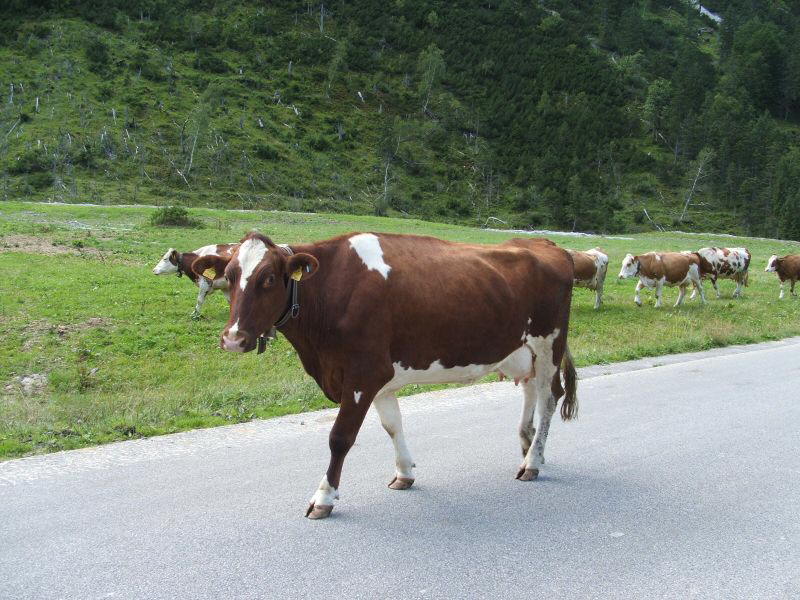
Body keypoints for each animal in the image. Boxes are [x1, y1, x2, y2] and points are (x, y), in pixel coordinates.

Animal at [197, 231, 578, 519]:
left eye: (269, 279)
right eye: (230, 277)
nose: (232, 338)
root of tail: (545, 243)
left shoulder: (363, 375)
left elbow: (340, 438)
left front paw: (324, 497)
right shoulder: (378, 379)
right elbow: (392, 425)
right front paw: (404, 472)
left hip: (549, 343)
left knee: (548, 398)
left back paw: (533, 462)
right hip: (522, 351)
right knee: (530, 391)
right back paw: (529, 446)